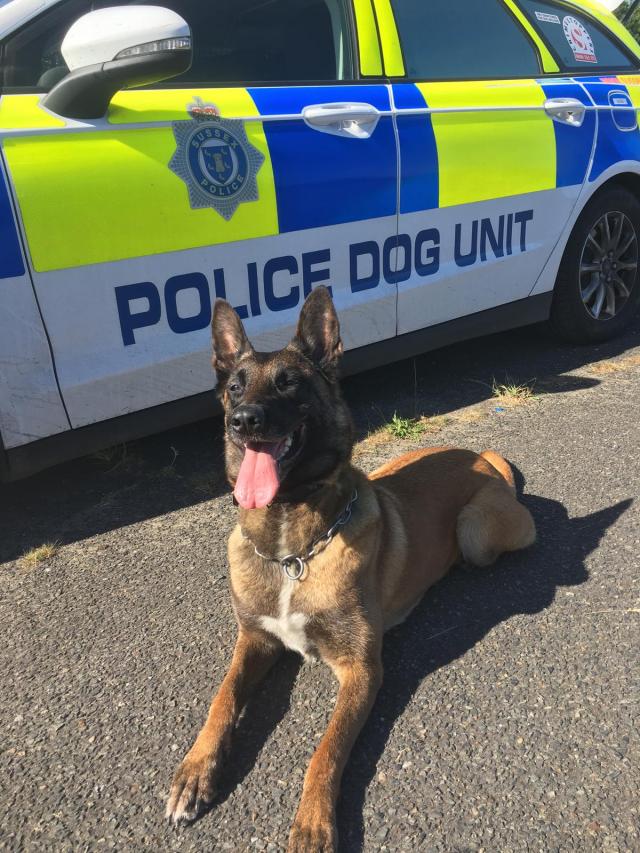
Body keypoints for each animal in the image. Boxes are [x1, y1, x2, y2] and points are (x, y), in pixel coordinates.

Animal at [165, 286, 536, 852]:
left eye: (289, 383)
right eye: (234, 386)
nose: (243, 420)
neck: (293, 550)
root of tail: (479, 454)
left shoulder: (362, 669)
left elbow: (326, 750)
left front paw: (313, 822)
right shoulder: (255, 639)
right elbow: (222, 699)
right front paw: (195, 770)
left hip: (475, 534)